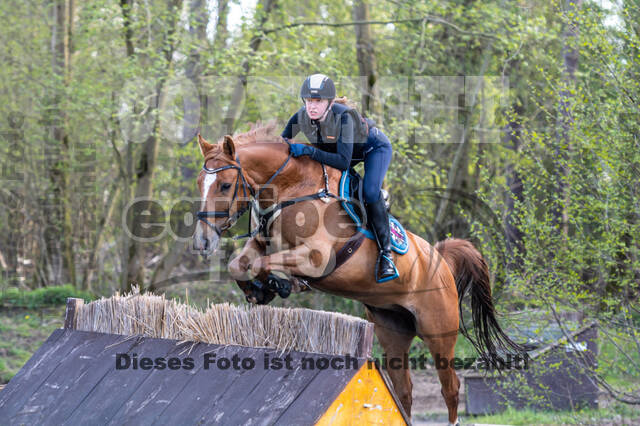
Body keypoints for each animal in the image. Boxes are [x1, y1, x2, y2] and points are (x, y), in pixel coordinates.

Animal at [192, 121, 524, 424]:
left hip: (438, 332)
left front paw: (282, 285)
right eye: (199, 183)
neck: (293, 188)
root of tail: (441, 260)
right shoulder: (263, 243)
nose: (202, 242)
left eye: (224, 185)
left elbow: (262, 265)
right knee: (404, 391)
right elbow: (240, 264)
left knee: (450, 388)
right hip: (392, 332)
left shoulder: (317, 257)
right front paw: (258, 290)